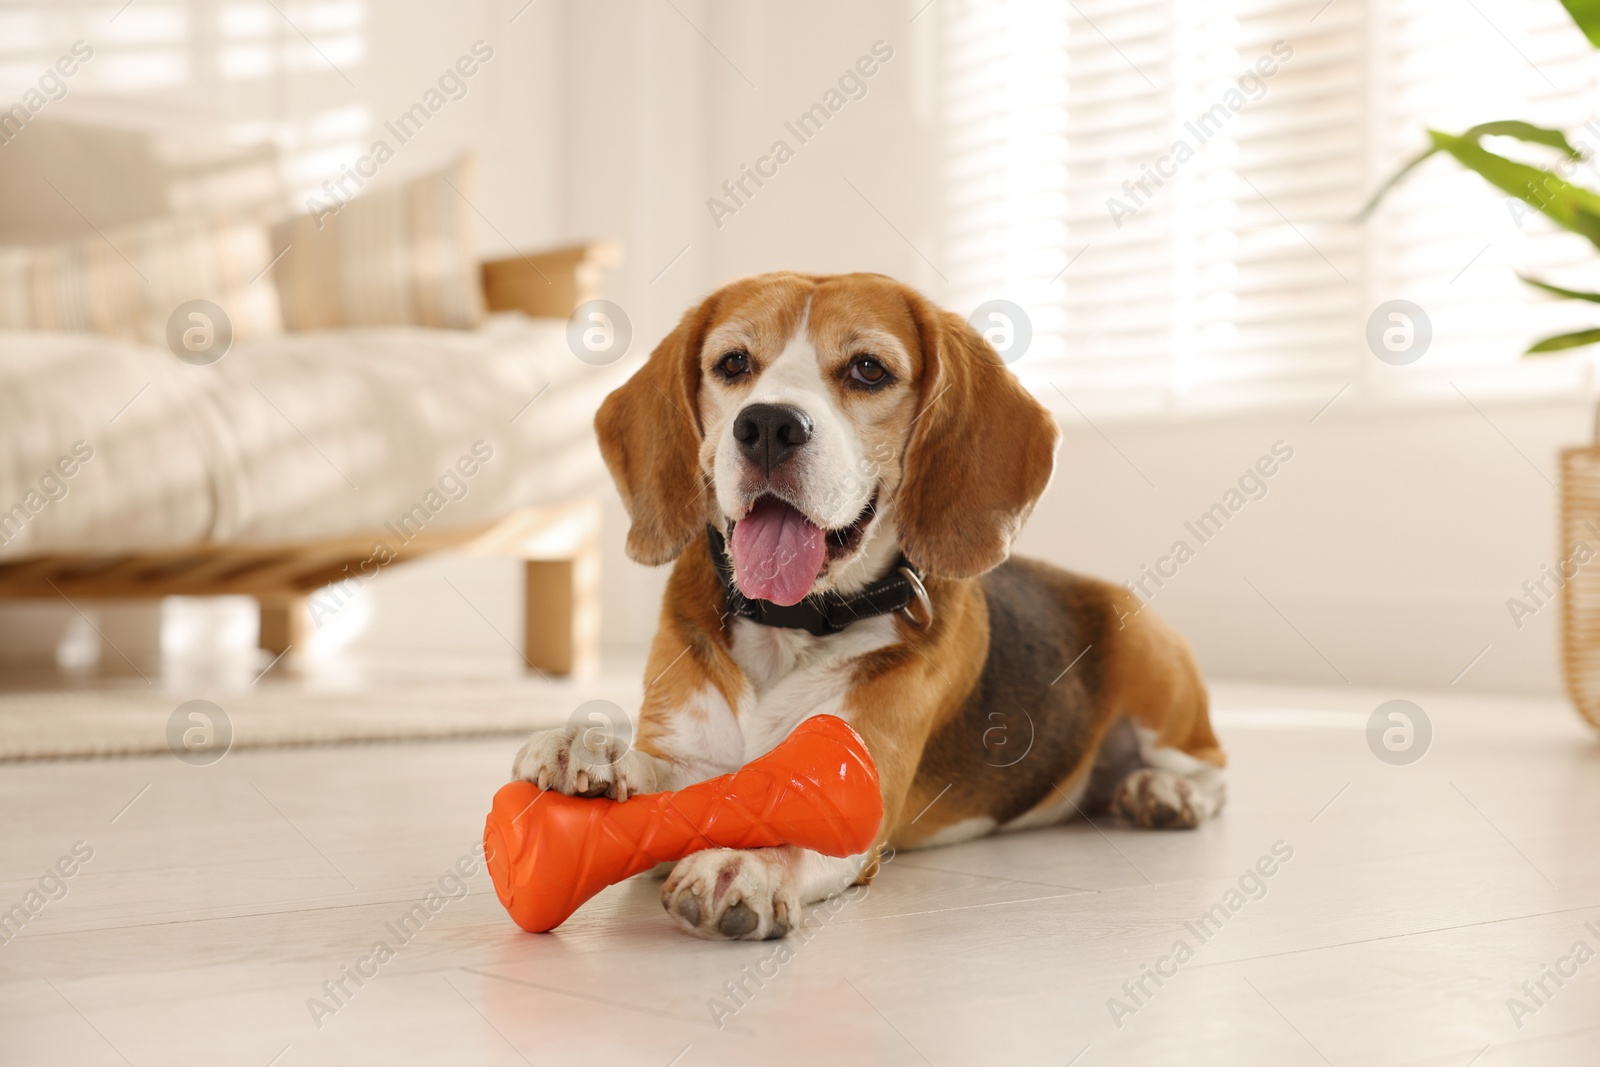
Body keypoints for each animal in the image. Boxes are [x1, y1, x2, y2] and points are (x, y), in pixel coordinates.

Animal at [512, 271, 1222, 940]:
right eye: (734, 363)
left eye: (868, 369)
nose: (768, 425)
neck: (790, 624)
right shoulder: (694, 756)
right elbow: (666, 781)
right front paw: (592, 747)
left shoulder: (861, 783)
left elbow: (803, 830)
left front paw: (747, 863)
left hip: (1156, 673)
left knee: (1213, 766)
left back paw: (1165, 791)